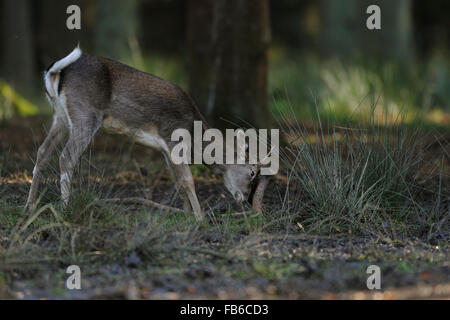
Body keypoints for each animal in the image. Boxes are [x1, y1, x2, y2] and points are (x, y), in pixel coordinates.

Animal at [25, 47, 268, 222]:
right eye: (252, 171)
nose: (245, 199)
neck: (196, 138)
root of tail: (54, 72)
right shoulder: (174, 139)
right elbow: (188, 181)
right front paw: (200, 219)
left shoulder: (165, 150)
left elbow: (178, 183)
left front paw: (187, 215)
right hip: (85, 115)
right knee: (66, 157)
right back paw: (65, 209)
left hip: (60, 117)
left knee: (42, 152)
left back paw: (30, 206)